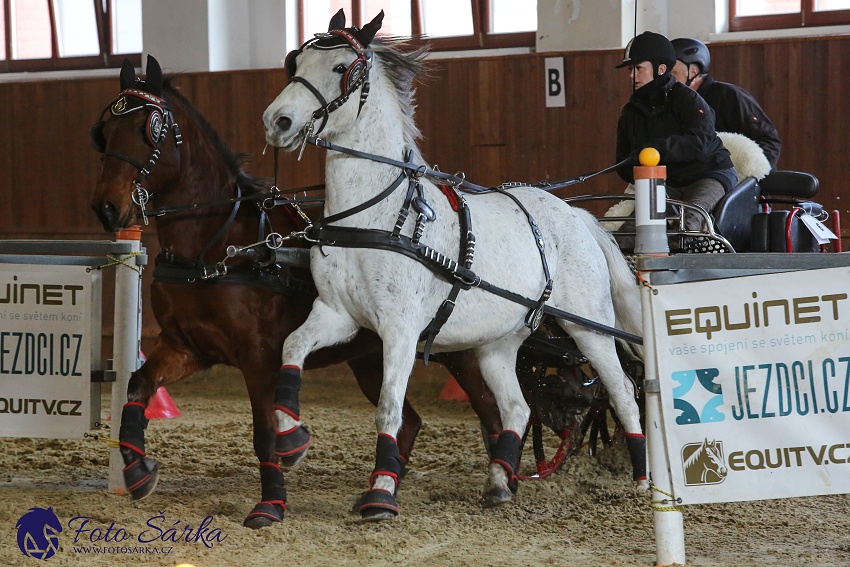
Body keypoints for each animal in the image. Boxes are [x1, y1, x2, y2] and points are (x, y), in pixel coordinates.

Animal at [89, 56, 500, 528]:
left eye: (151, 129)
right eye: (105, 130)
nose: (105, 208)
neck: (214, 248)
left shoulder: (258, 358)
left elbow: (265, 433)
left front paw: (271, 502)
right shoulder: (185, 347)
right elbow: (137, 386)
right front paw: (137, 469)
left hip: (457, 349)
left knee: (490, 411)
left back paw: (502, 480)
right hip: (367, 356)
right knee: (410, 422)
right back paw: (383, 489)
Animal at [264, 10, 644, 524]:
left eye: (343, 68)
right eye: (295, 62)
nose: (277, 120)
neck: (377, 216)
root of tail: (576, 216)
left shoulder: (400, 331)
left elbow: (389, 408)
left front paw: (381, 493)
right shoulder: (337, 314)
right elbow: (292, 348)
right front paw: (291, 439)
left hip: (590, 326)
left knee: (621, 390)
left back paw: (641, 479)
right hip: (499, 343)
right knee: (516, 407)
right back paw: (500, 481)